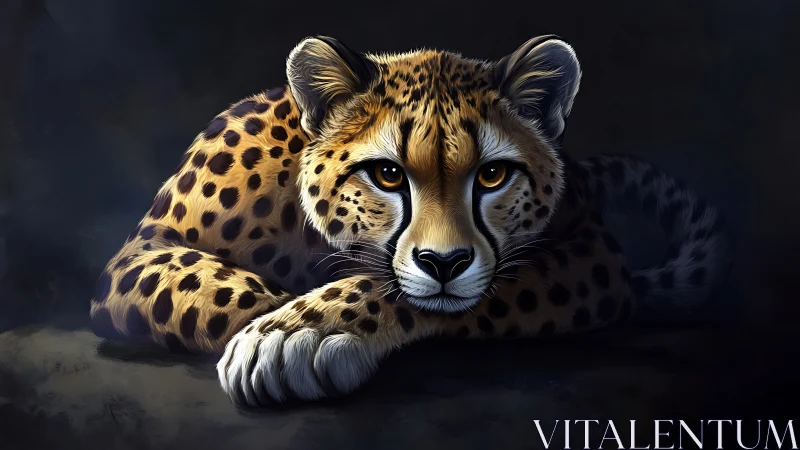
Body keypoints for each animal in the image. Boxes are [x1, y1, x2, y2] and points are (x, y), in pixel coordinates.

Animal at [88, 35, 732, 407]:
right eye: (387, 174)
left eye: (492, 176)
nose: (444, 262)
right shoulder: (141, 253)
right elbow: (222, 290)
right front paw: (276, 327)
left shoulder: (592, 254)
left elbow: (421, 292)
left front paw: (295, 331)